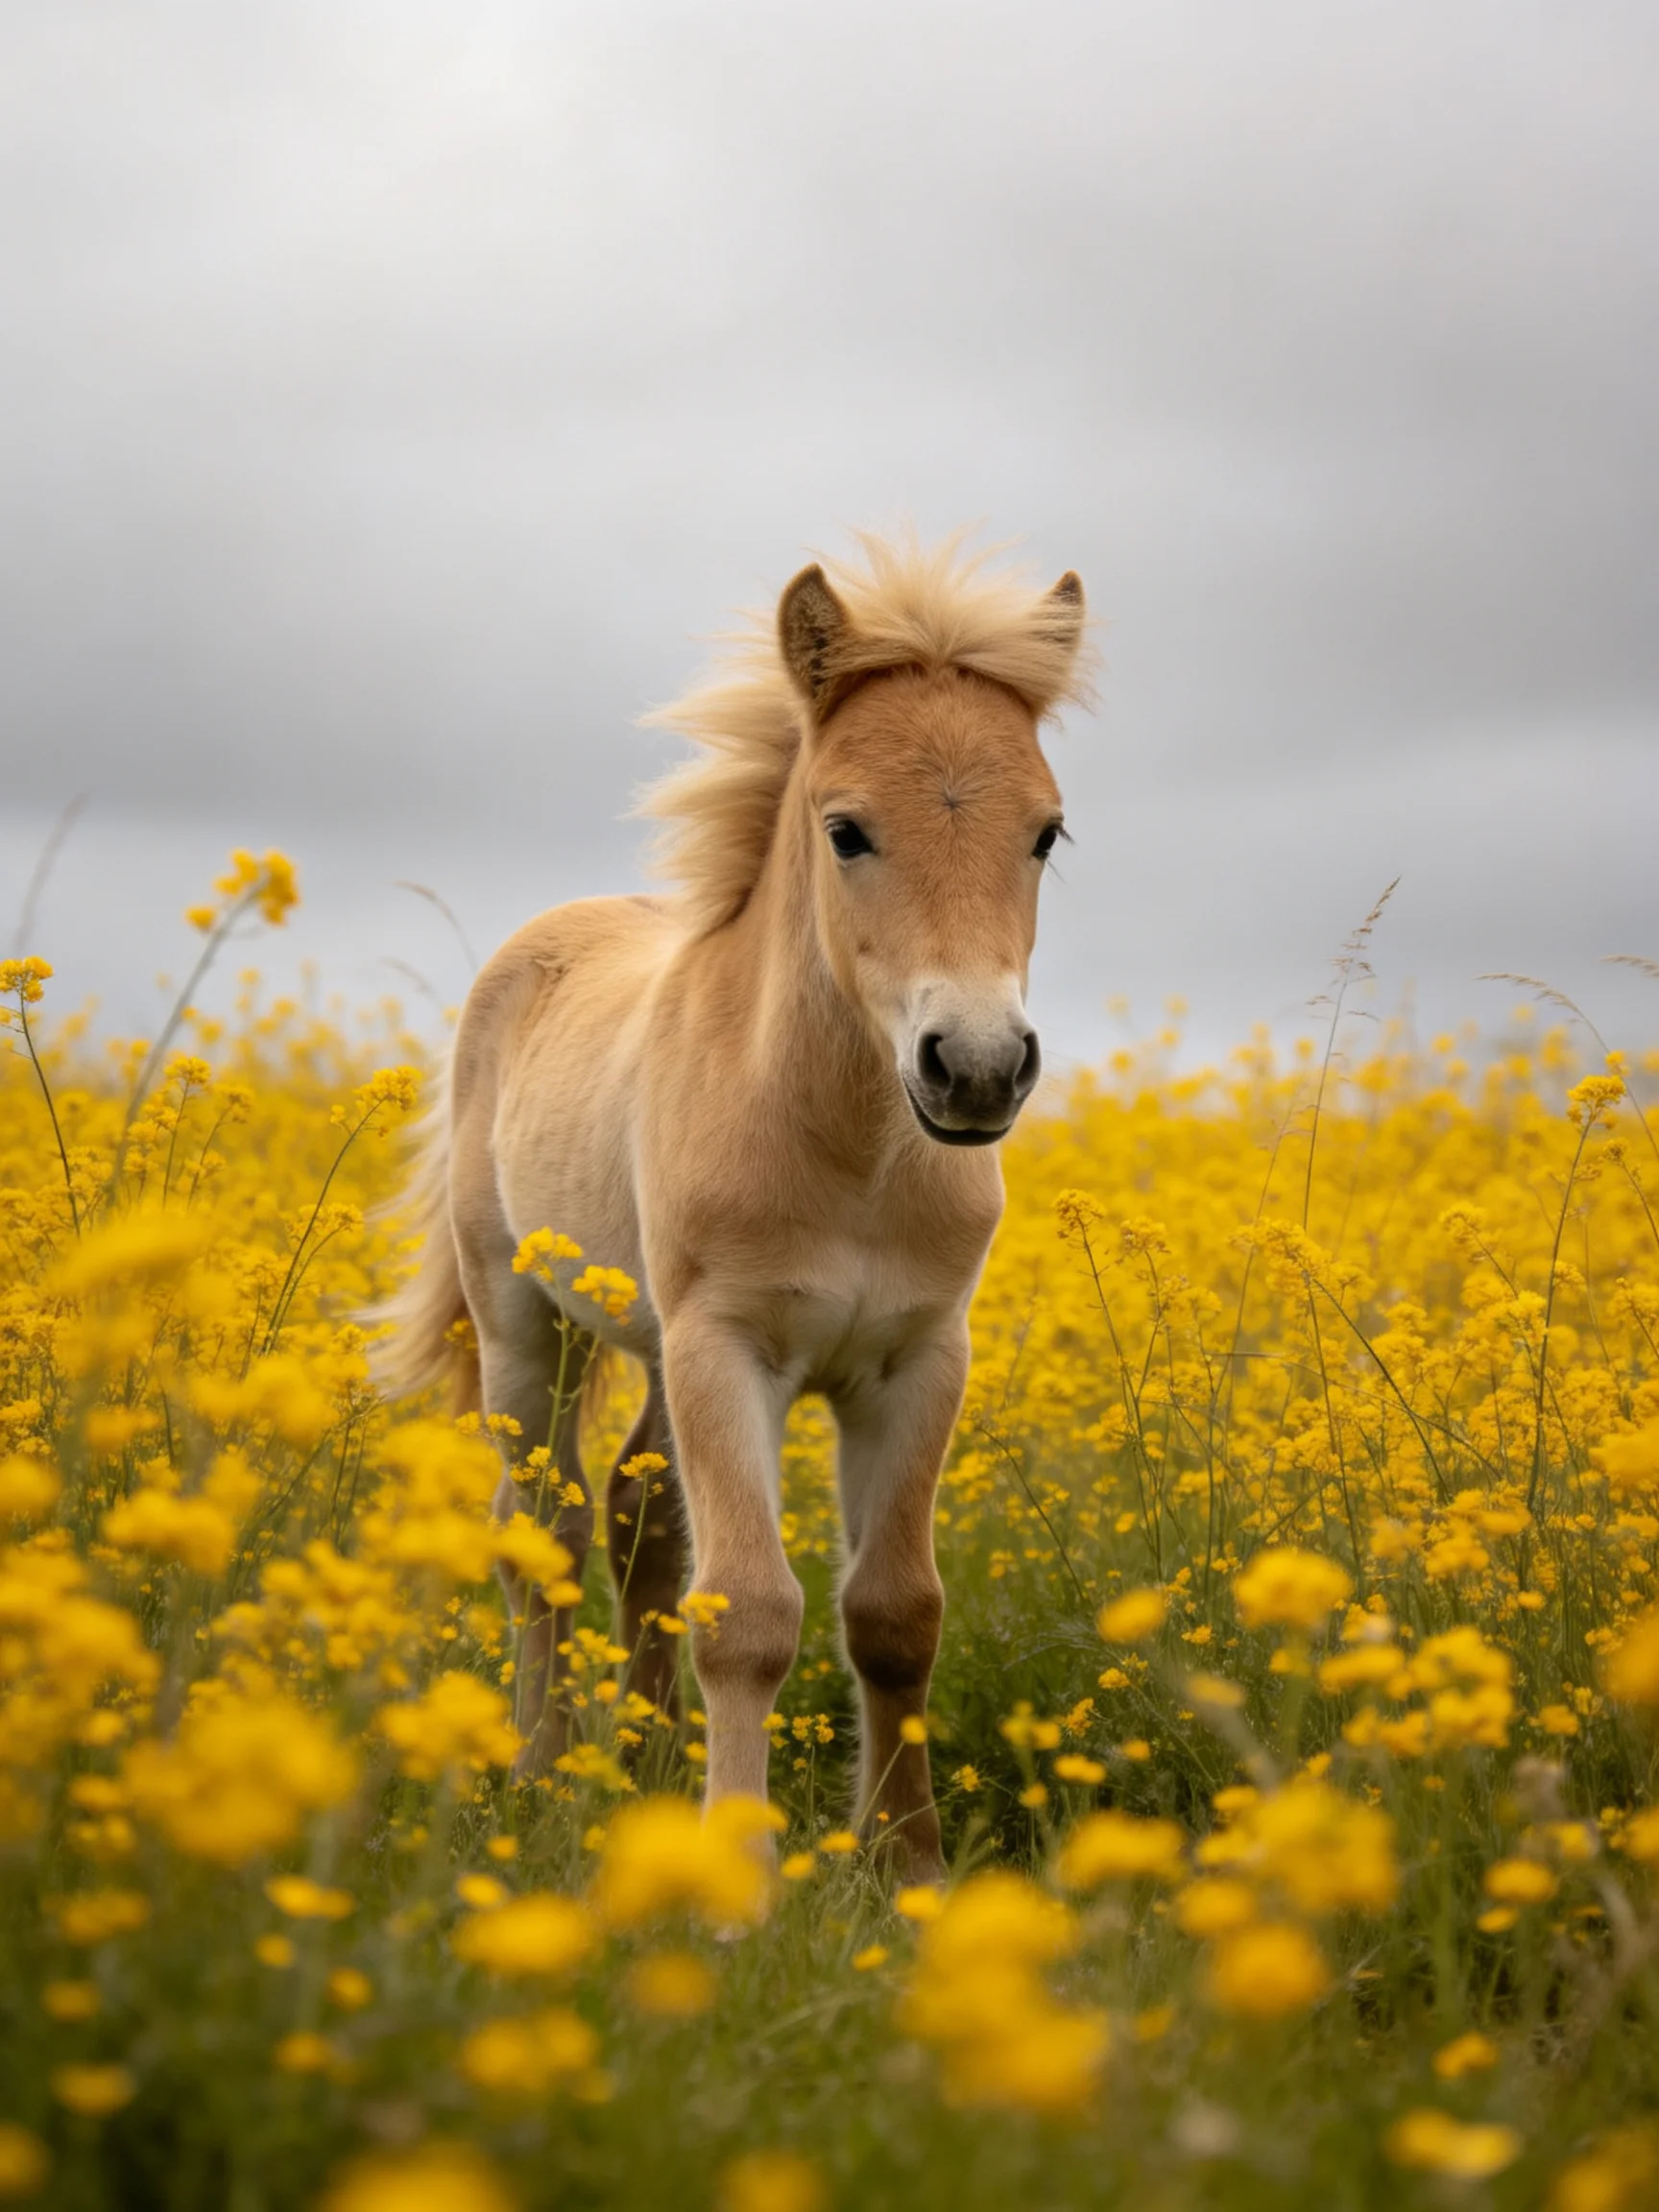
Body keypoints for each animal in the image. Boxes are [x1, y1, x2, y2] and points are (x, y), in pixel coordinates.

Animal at [378, 531, 1091, 1881]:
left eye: (1047, 834)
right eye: (847, 831)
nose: (974, 1068)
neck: (846, 1149)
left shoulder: (919, 1360)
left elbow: (895, 1613)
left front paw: (908, 1869)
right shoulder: (728, 1347)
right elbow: (750, 1614)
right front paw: (734, 1882)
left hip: (656, 1345)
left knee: (637, 1515)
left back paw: (645, 1763)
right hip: (526, 1325)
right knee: (543, 1526)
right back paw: (544, 1772)